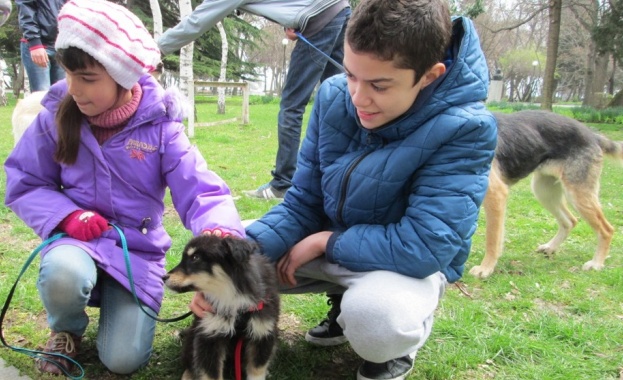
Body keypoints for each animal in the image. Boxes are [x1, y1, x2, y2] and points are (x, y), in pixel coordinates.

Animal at [163, 235, 280, 380]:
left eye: (195, 257)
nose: (163, 277)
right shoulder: (208, 337)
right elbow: (211, 374)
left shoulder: (262, 333)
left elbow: (256, 371)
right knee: (189, 365)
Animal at [470, 111, 620, 278]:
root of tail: (592, 135)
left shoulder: (496, 195)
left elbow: (492, 238)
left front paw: (486, 268)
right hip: (544, 192)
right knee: (570, 221)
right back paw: (551, 247)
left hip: (577, 195)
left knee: (606, 229)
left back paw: (596, 263)